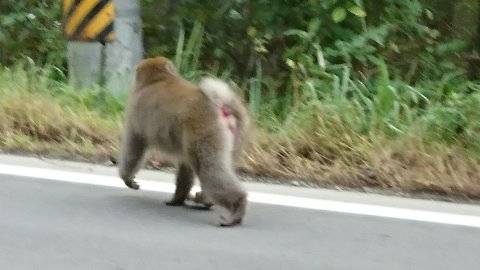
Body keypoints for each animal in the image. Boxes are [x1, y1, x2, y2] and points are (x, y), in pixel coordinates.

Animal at [117, 56, 249, 226]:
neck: (159, 79)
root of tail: (222, 107)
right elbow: (185, 165)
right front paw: (178, 199)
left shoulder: (134, 111)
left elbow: (134, 147)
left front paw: (127, 178)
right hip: (236, 136)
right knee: (217, 165)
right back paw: (206, 200)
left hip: (206, 131)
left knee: (208, 168)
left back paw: (236, 207)